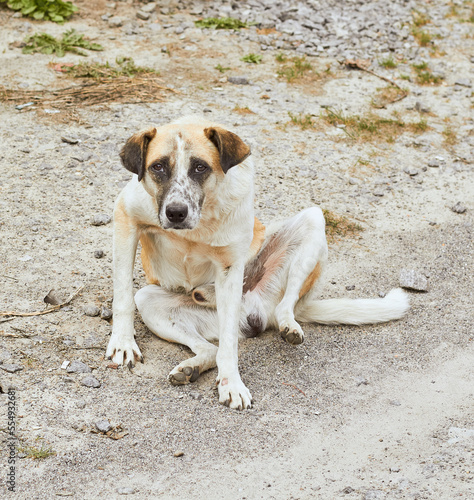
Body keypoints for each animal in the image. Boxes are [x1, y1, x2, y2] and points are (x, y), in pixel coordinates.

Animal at [105, 116, 410, 410]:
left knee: (283, 305)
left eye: (200, 168)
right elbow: (122, 296)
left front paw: (232, 384)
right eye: (157, 167)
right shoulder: (126, 220)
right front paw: (122, 342)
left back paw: (283, 322)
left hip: (311, 223)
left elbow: (229, 343)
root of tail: (262, 312)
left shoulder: (229, 267)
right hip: (149, 300)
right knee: (208, 348)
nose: (176, 213)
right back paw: (193, 361)